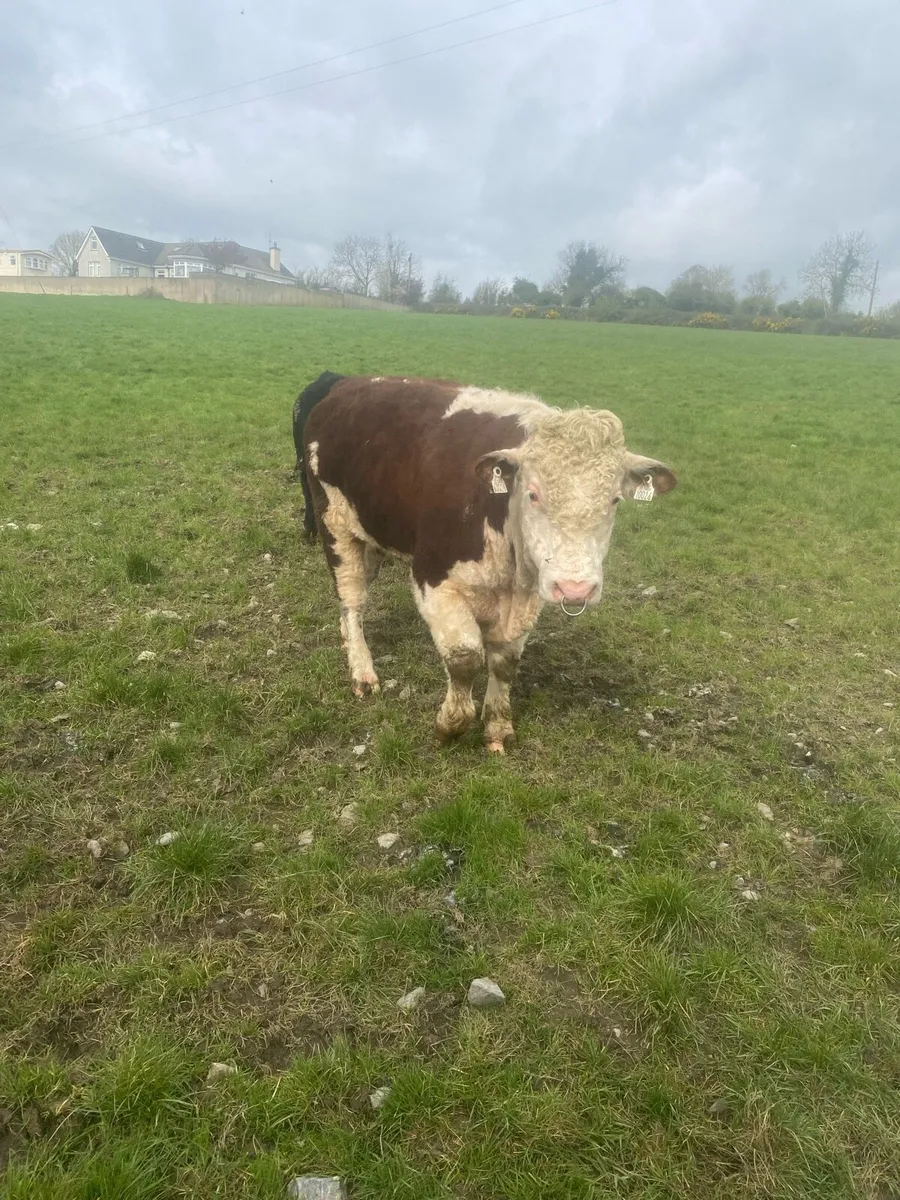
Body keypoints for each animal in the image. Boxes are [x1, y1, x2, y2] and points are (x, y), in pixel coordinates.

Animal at [295, 373, 677, 753]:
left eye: (614, 500)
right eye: (532, 494)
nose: (575, 587)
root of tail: (344, 381)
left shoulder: (527, 596)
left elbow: (505, 662)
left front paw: (497, 726)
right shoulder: (432, 578)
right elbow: (465, 658)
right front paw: (449, 726)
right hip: (334, 525)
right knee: (351, 599)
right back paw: (361, 670)